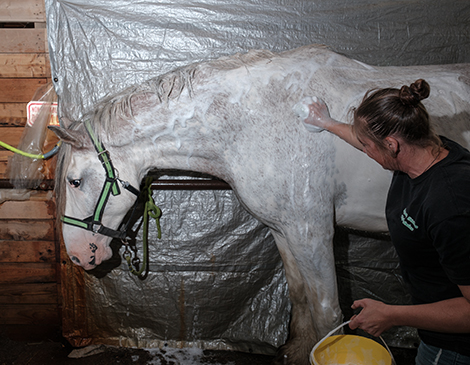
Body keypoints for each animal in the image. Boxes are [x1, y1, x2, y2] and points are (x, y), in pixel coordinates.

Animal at [51, 45, 470, 364]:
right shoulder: (284, 232)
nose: (77, 255)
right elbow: (300, 300)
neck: (257, 119)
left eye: (75, 181)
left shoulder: (313, 233)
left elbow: (327, 314)